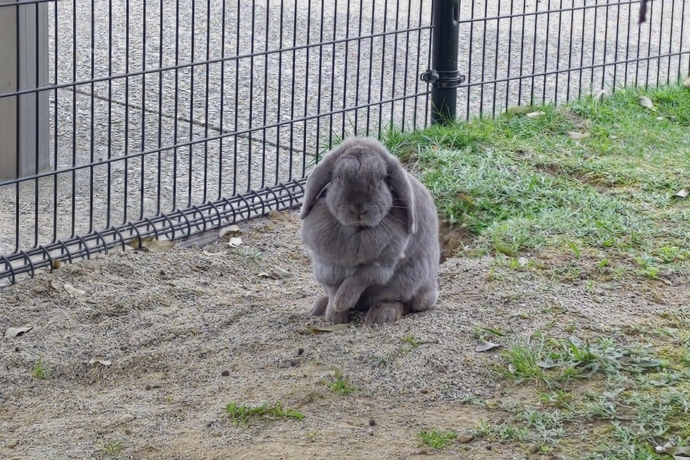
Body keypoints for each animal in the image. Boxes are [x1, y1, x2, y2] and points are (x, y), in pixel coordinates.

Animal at [296, 135, 438, 326]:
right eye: (339, 177)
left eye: (379, 179)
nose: (358, 208)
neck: (355, 231)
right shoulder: (327, 267)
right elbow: (334, 289)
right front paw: (335, 315)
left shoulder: (380, 268)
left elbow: (356, 281)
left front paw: (342, 302)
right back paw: (318, 307)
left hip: (411, 285)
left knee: (402, 302)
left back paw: (380, 315)